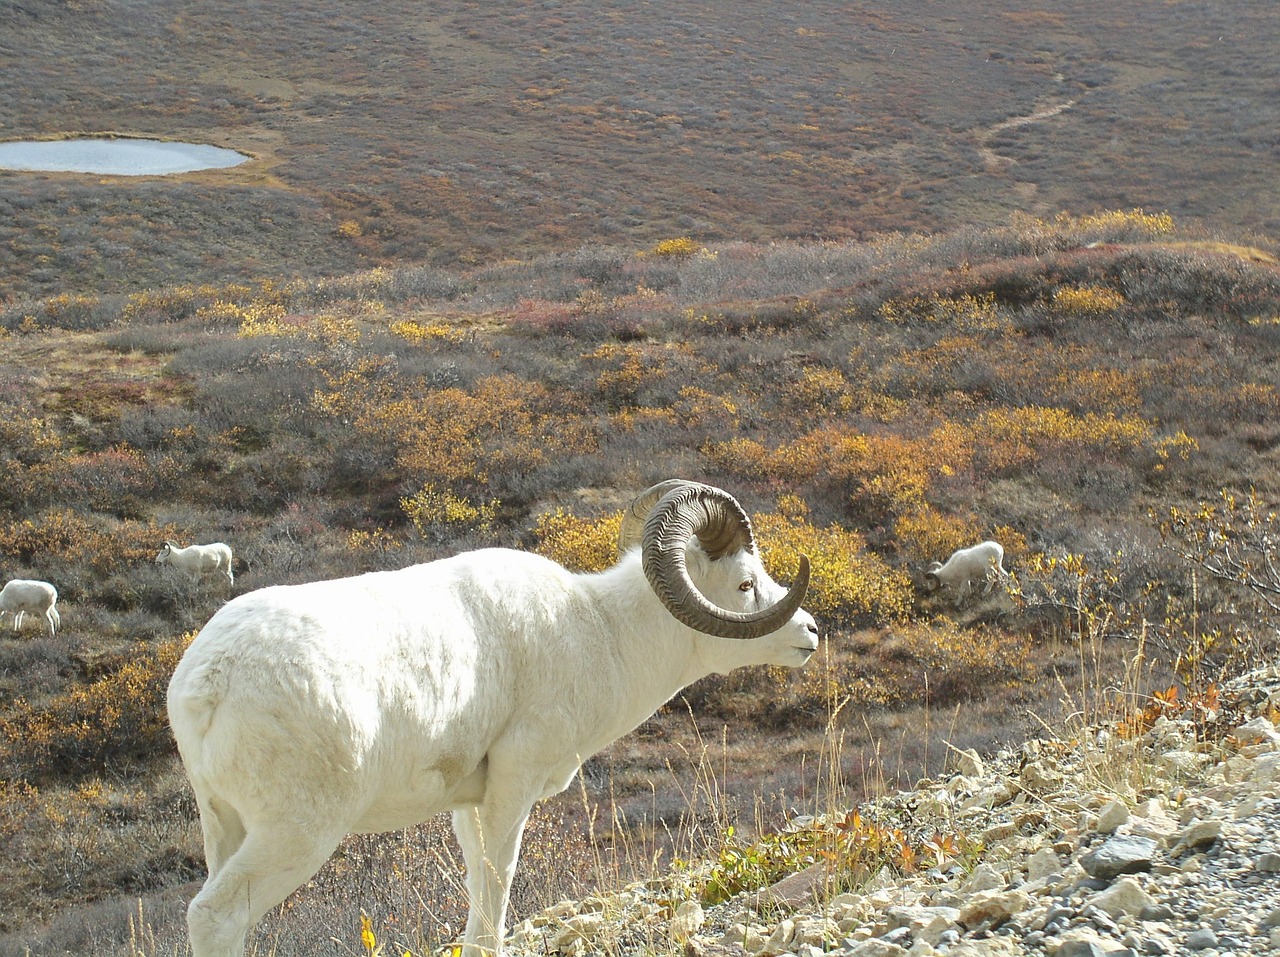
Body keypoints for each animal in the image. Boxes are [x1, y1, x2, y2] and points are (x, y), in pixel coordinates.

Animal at [167, 481, 819, 957]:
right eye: (745, 583)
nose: (810, 632)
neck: (600, 631)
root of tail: (212, 679)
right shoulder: (513, 785)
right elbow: (498, 879)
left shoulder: (468, 803)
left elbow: (478, 884)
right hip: (297, 833)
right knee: (216, 916)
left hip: (225, 826)